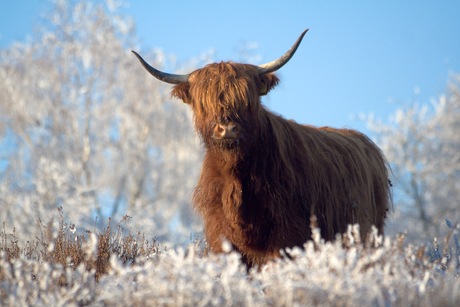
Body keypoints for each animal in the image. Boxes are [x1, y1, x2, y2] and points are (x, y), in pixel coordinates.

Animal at [132, 30, 392, 268]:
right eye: (205, 102)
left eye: (247, 99)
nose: (228, 128)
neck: (237, 177)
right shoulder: (221, 238)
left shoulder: (287, 238)